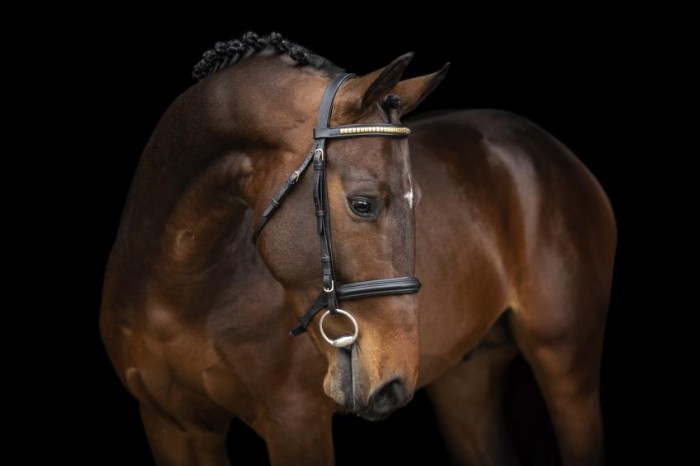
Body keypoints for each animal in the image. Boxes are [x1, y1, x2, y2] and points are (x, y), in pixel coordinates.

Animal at [101, 32, 616, 466]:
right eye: (363, 204)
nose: (394, 382)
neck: (182, 290)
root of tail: (547, 148)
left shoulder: (296, 423)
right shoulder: (172, 427)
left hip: (566, 364)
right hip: (466, 378)